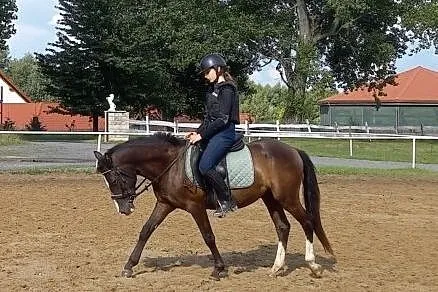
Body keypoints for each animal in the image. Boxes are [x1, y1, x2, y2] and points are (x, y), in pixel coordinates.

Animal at [94, 132, 334, 278]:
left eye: (113, 178)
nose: (123, 209)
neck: (171, 165)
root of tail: (293, 150)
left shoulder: (195, 206)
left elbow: (208, 236)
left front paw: (219, 268)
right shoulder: (165, 204)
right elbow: (146, 231)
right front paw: (129, 266)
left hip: (287, 198)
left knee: (307, 222)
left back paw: (313, 265)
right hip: (271, 199)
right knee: (283, 227)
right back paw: (276, 268)